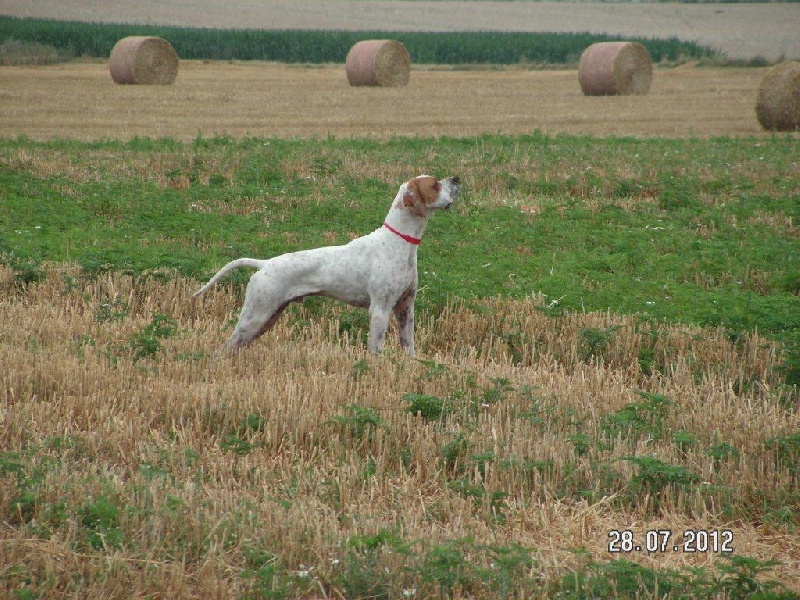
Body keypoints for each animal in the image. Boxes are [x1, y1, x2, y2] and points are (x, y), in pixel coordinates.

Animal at [192, 173, 462, 354]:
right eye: (435, 184)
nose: (456, 178)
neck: (399, 242)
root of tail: (264, 264)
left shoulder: (405, 308)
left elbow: (409, 349)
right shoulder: (380, 310)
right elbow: (375, 351)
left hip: (266, 319)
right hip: (255, 316)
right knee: (223, 349)